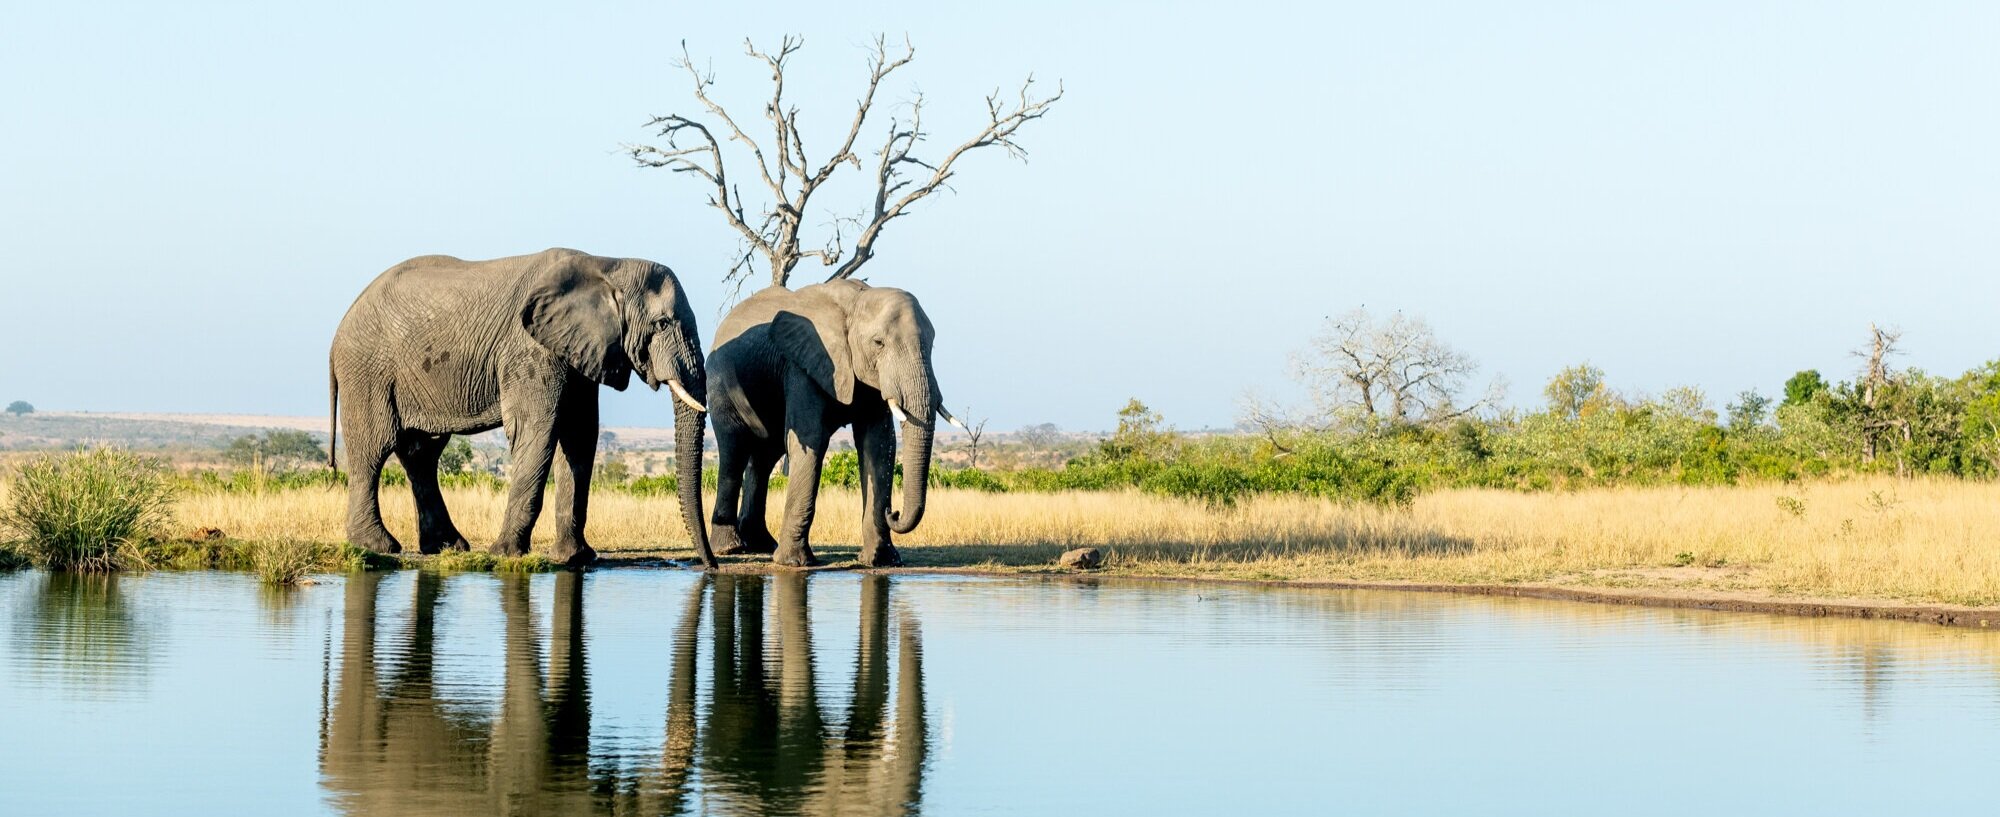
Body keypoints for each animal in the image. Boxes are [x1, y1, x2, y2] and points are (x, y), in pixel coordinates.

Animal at [329, 248, 714, 568]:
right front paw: (506, 554)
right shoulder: (529, 349)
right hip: (367, 370)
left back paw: (446, 547)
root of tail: (337, 335)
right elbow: (538, 430)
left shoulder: (577, 352)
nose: (710, 567)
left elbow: (580, 437)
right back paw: (378, 546)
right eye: (662, 324)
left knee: (421, 454)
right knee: (373, 449)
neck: (607, 263)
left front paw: (575, 558)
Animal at [705, 279, 965, 567]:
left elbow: (878, 444)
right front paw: (794, 563)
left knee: (765, 456)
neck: (857, 301)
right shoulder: (803, 365)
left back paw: (761, 545)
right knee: (734, 449)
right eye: (878, 343)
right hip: (721, 382)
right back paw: (731, 548)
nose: (893, 511)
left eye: (931, 345)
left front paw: (881, 561)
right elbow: (812, 438)